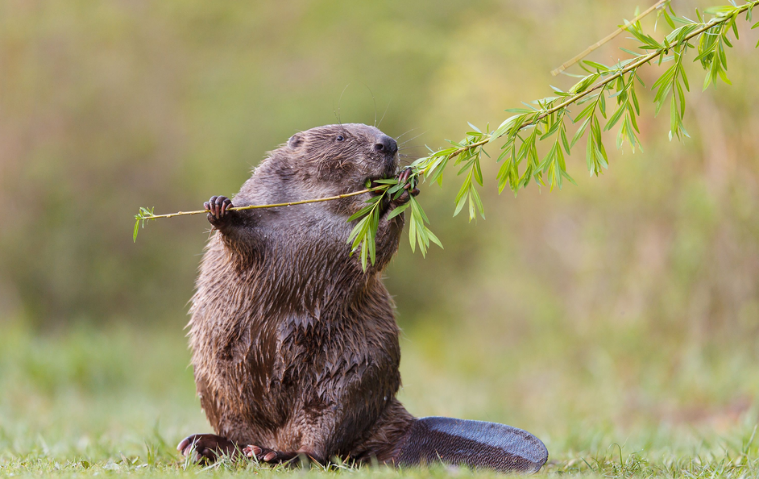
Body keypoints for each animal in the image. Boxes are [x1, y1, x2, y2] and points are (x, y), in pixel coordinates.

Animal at [178, 124, 548, 472]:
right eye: (341, 137)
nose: (388, 144)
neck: (320, 208)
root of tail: (404, 428)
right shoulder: (264, 198)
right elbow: (242, 244)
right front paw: (219, 207)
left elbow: (374, 249)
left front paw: (404, 186)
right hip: (222, 395)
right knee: (242, 436)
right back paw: (201, 444)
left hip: (346, 381)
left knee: (321, 445)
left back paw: (273, 454)